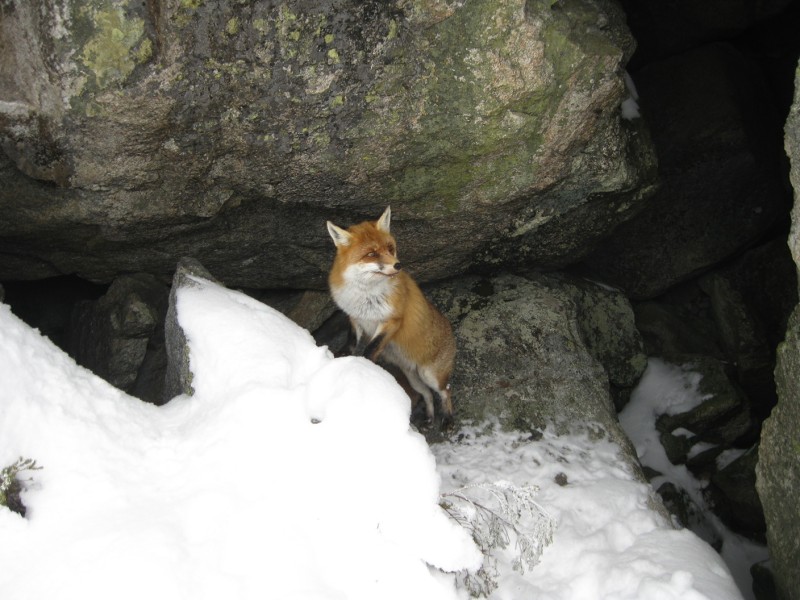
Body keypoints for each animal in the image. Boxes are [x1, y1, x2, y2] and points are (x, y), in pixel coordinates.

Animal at [326, 206, 456, 426]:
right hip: (413, 377)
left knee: (445, 391)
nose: (398, 265)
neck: (366, 297)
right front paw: (344, 357)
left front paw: (362, 367)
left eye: (390, 248)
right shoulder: (355, 318)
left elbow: (371, 349)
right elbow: (352, 342)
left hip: (430, 375)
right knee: (427, 394)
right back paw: (430, 418)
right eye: (371, 254)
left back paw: (447, 421)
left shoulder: (392, 321)